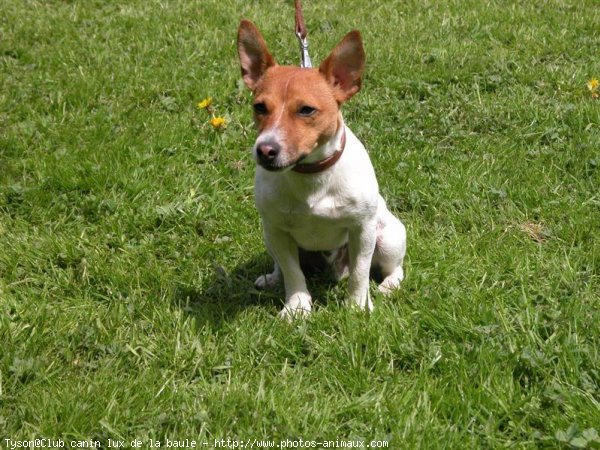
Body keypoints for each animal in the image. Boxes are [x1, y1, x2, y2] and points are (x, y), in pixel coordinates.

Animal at [237, 19, 406, 318]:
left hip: (387, 236)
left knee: (394, 267)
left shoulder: (363, 229)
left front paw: (358, 306)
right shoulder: (277, 230)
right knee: (282, 266)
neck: (311, 176)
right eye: (259, 107)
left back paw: (389, 285)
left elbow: (361, 272)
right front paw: (297, 306)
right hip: (269, 237)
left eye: (306, 110)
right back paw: (272, 278)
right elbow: (293, 272)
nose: (265, 150)